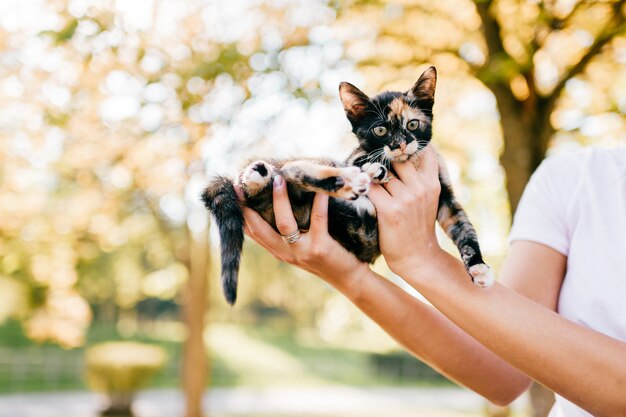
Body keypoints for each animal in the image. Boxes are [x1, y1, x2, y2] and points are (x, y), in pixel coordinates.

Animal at [202, 66, 490, 304]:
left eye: (413, 124)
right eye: (380, 130)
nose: (399, 144)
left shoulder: (446, 196)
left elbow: (464, 227)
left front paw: (478, 266)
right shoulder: (353, 157)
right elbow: (365, 159)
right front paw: (377, 168)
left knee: (279, 179)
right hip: (317, 165)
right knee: (291, 169)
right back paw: (346, 180)